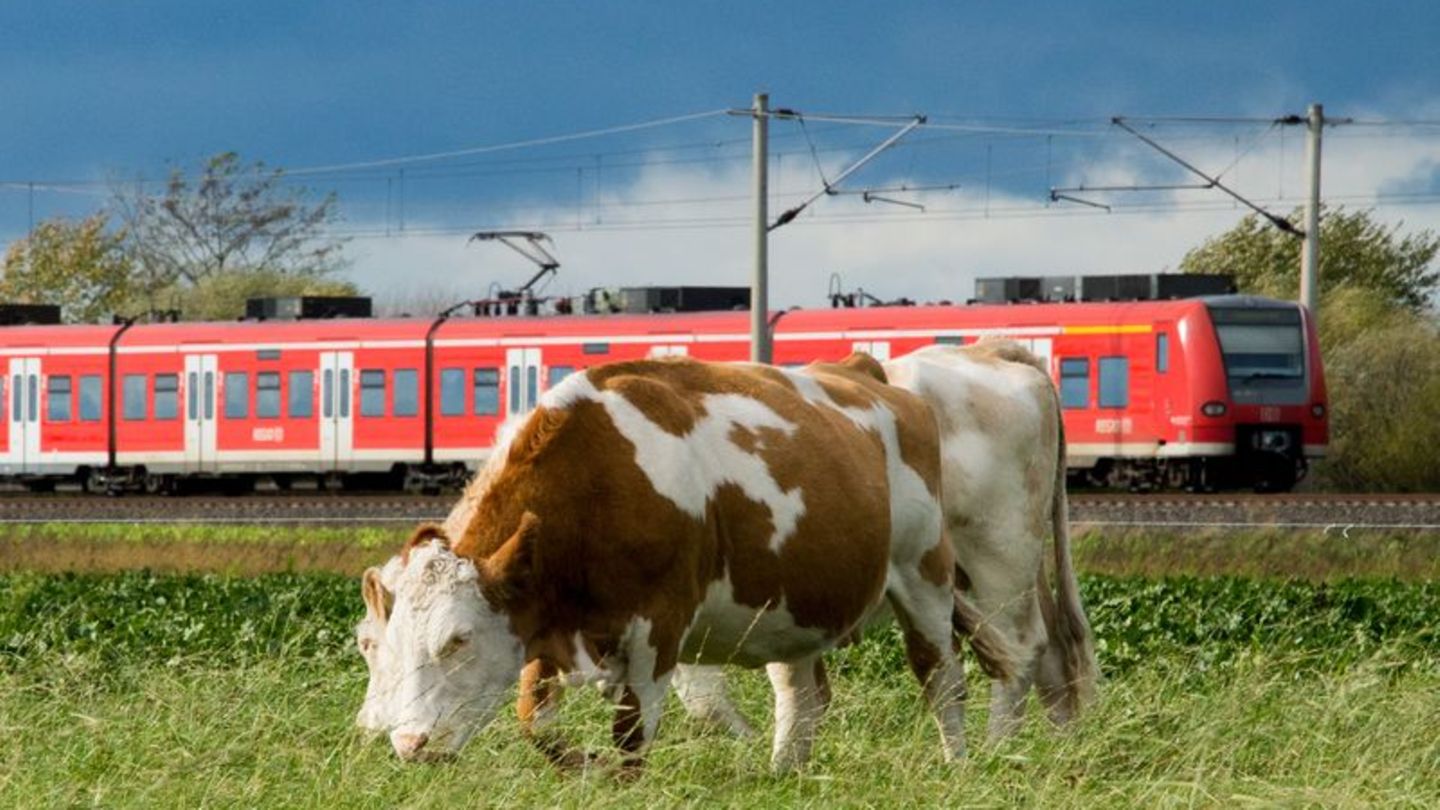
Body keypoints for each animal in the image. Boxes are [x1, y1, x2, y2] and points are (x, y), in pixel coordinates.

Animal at [371, 354, 1002, 766]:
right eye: (385, 643)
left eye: (458, 639)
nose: (408, 744)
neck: (599, 479)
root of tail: (863, 372)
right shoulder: (544, 624)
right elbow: (536, 723)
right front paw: (581, 762)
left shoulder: (659, 627)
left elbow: (631, 736)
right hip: (795, 604)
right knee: (802, 696)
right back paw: (784, 775)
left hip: (924, 573)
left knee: (941, 678)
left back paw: (957, 764)